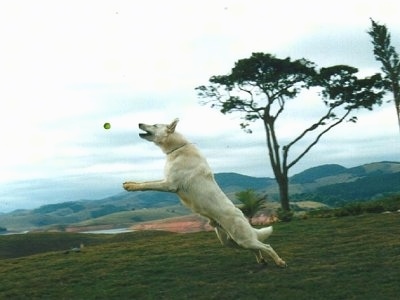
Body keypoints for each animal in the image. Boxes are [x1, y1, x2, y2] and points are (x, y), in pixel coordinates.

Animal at [123, 118, 286, 266]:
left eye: (155, 125)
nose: (139, 123)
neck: (178, 148)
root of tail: (243, 216)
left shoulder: (169, 184)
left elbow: (147, 185)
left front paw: (131, 187)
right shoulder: (166, 180)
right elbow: (145, 182)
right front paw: (130, 183)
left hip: (243, 239)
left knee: (266, 246)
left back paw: (279, 262)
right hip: (232, 242)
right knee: (256, 249)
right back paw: (262, 261)